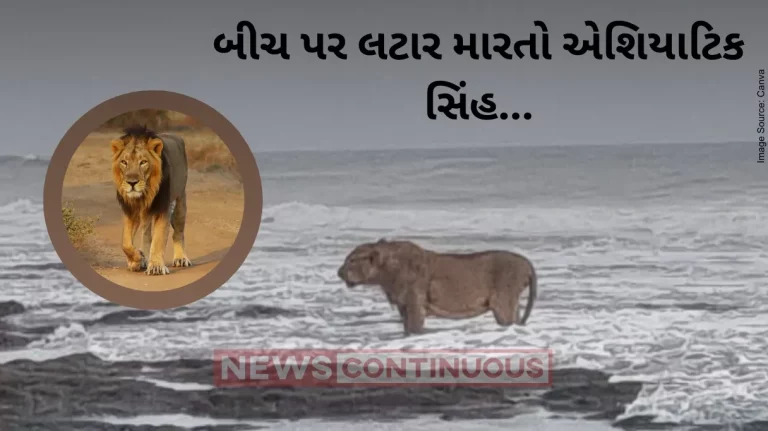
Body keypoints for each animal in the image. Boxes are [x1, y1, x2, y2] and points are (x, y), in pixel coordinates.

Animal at [110, 125, 192, 276]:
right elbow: (125, 242)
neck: (144, 195)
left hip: (179, 201)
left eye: (143, 162)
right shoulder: (131, 211)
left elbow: (158, 238)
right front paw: (138, 258)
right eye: (124, 162)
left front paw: (156, 266)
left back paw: (181, 258)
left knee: (178, 233)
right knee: (146, 235)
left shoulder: (163, 209)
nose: (132, 183)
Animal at [337, 239, 537, 335]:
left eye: (352, 260)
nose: (339, 272)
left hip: (503, 303)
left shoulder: (415, 302)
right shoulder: (403, 305)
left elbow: (414, 328)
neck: (385, 273)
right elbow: (406, 329)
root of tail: (527, 262)